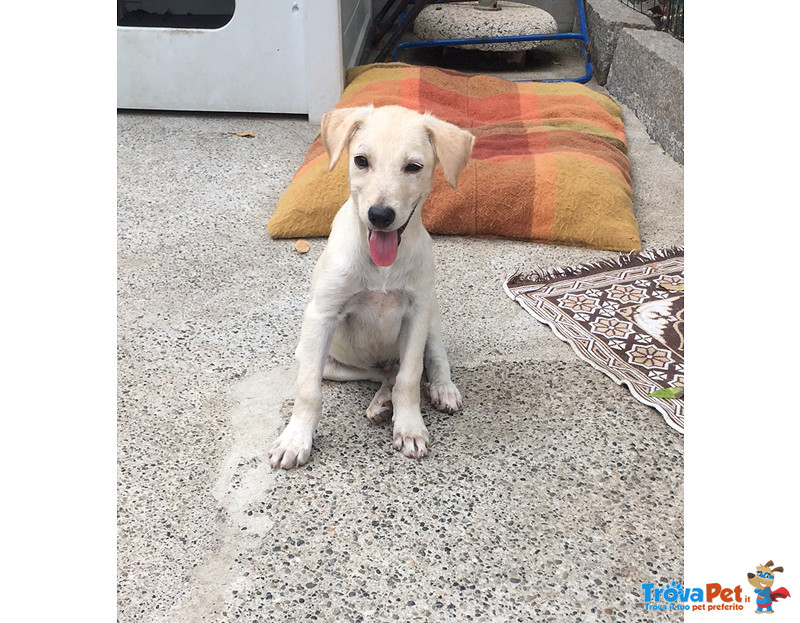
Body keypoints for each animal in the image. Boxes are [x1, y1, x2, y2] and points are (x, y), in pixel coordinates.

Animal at [272, 106, 476, 468]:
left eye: (413, 167)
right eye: (361, 160)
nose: (380, 215)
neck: (382, 267)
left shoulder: (416, 314)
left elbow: (411, 376)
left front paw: (410, 427)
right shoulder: (321, 316)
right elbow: (308, 390)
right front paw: (296, 439)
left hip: (431, 319)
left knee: (428, 361)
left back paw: (441, 388)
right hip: (328, 362)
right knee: (381, 374)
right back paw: (381, 401)